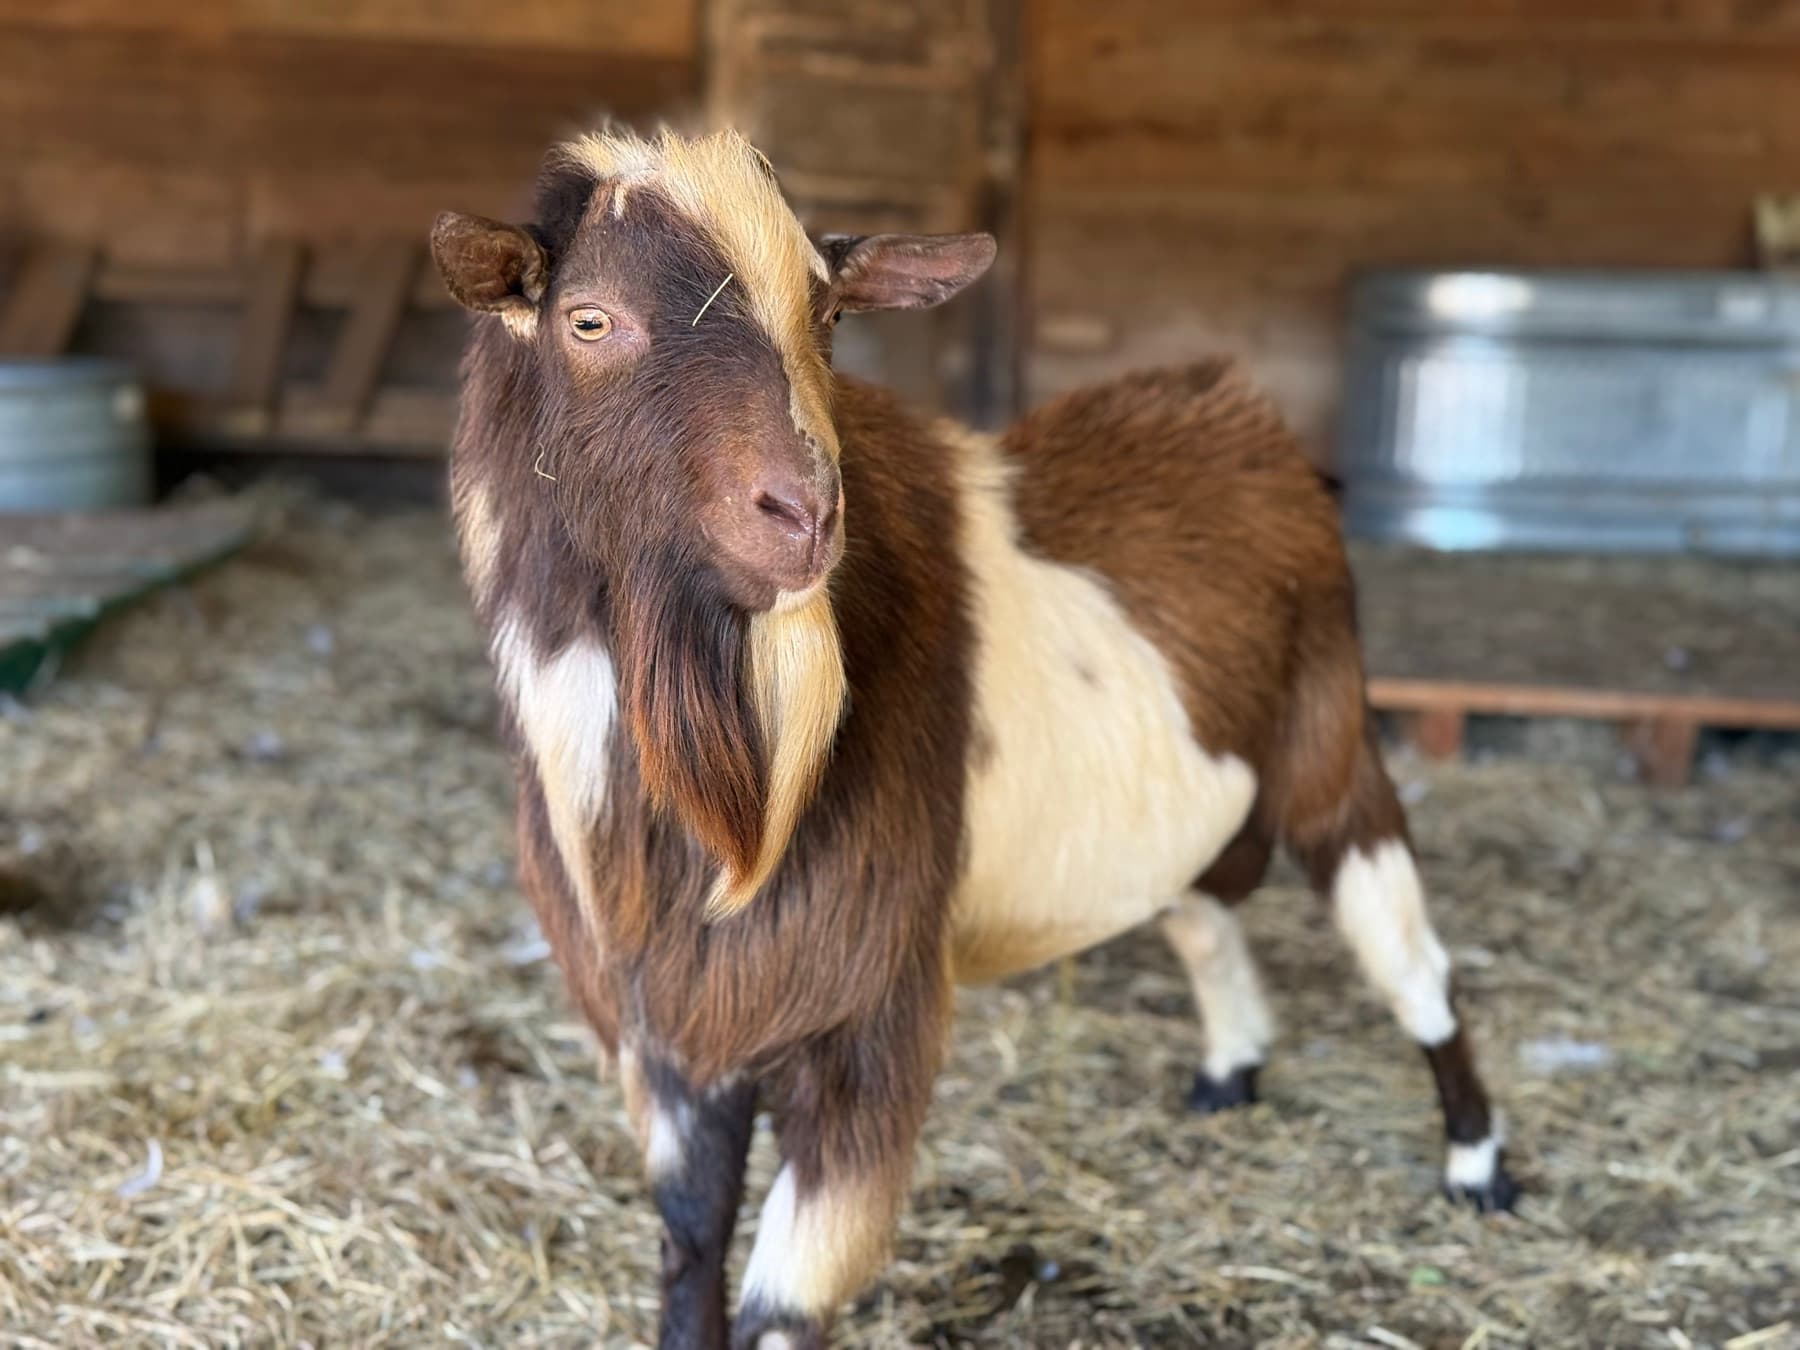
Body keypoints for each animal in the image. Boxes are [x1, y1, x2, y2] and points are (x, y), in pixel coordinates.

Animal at [430, 126, 1515, 1350]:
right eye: (589, 320)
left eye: (828, 314)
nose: (803, 513)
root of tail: (1245, 413)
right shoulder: (668, 1022)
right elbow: (691, 1239)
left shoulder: (863, 1007)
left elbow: (779, 1304)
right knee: (1198, 911)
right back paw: (1231, 1071)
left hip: (1332, 747)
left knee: (1411, 955)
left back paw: (1479, 1168)